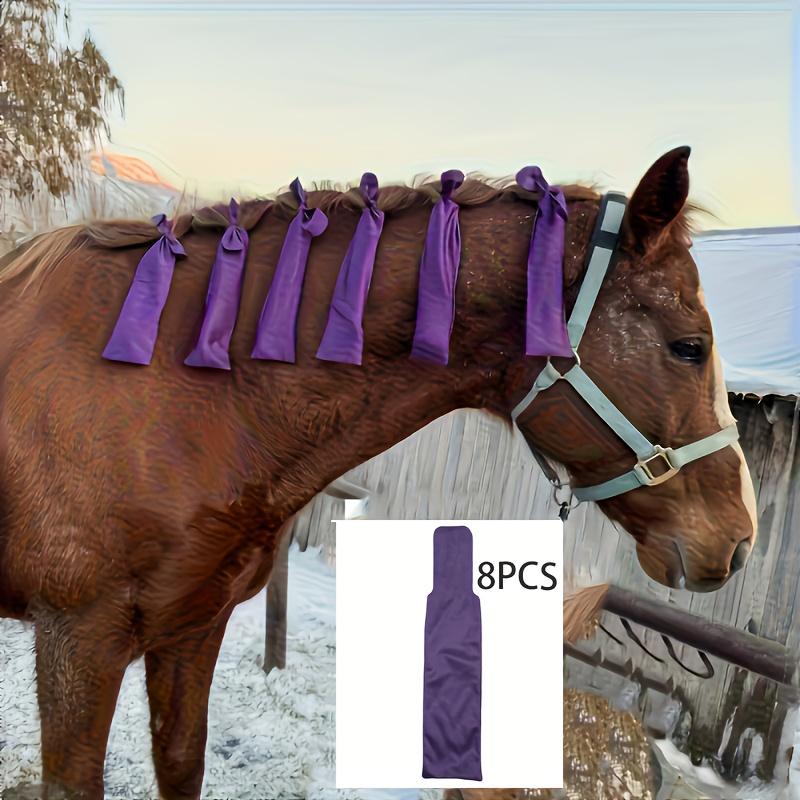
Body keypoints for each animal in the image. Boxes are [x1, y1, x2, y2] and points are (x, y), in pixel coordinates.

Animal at [0, 146, 756, 799]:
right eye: (689, 347)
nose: (739, 537)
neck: (174, 390)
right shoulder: (80, 644)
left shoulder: (192, 630)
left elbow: (182, 763)